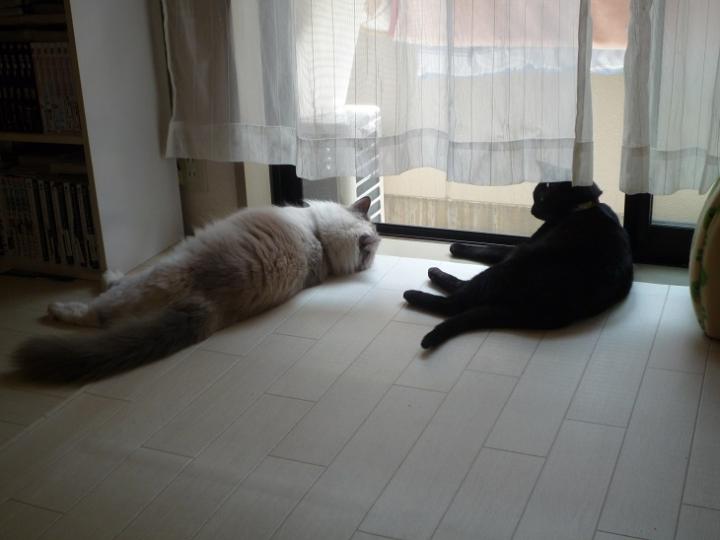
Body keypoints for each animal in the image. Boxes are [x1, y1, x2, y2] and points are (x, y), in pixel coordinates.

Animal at [403, 182, 633, 349]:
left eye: (541, 197)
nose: (532, 209)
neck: (582, 206)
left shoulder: (524, 245)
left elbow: (490, 249)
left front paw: (457, 246)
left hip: (509, 266)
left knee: (456, 302)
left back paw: (420, 286)